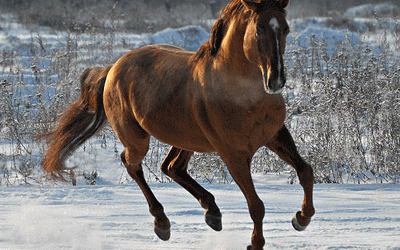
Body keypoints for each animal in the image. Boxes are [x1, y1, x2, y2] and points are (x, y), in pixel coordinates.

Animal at [41, 0, 316, 249]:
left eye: (286, 28)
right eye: (258, 29)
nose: (276, 80)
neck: (243, 94)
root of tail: (113, 69)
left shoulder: (275, 135)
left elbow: (305, 171)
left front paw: (301, 219)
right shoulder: (233, 154)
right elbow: (256, 205)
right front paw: (256, 243)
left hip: (187, 138)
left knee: (172, 167)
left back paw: (212, 213)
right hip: (138, 139)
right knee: (133, 164)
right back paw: (162, 223)